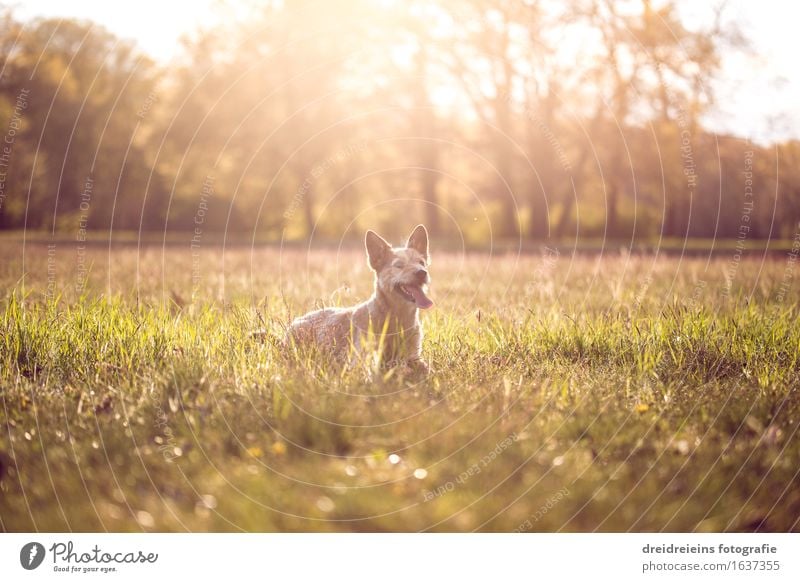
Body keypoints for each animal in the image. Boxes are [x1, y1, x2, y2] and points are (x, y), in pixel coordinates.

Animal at [288, 226, 434, 372]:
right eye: (399, 265)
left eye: (421, 263)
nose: (422, 272)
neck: (397, 318)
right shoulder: (360, 359)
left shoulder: (414, 356)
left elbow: (425, 368)